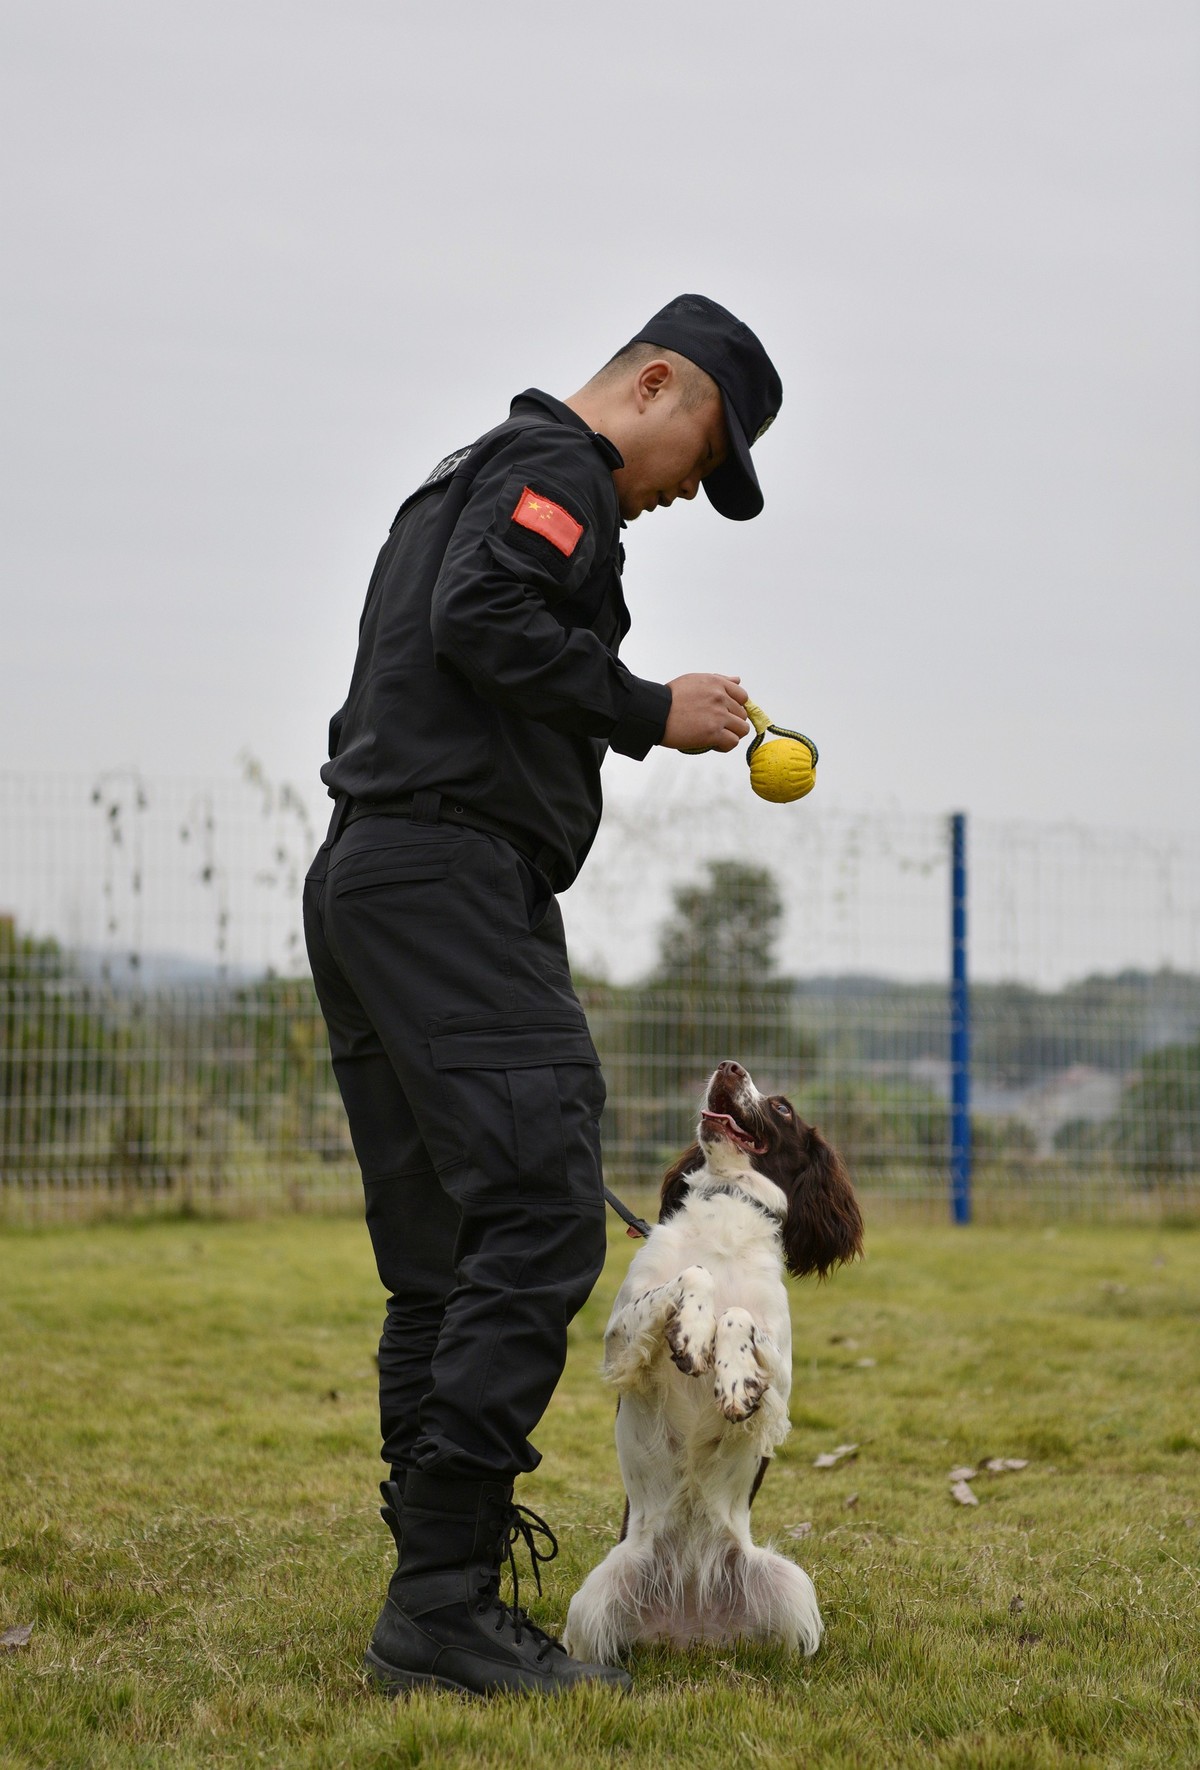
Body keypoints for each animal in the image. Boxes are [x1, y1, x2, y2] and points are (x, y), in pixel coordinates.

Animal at [562, 1054, 863, 1663]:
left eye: (782, 1107)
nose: (728, 1065)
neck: (729, 1207)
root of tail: (689, 1627)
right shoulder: (617, 1337)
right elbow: (692, 1276)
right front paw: (692, 1335)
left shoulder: (783, 1375)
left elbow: (739, 1316)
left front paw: (735, 1380)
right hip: (591, 1602)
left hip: (791, 1586)